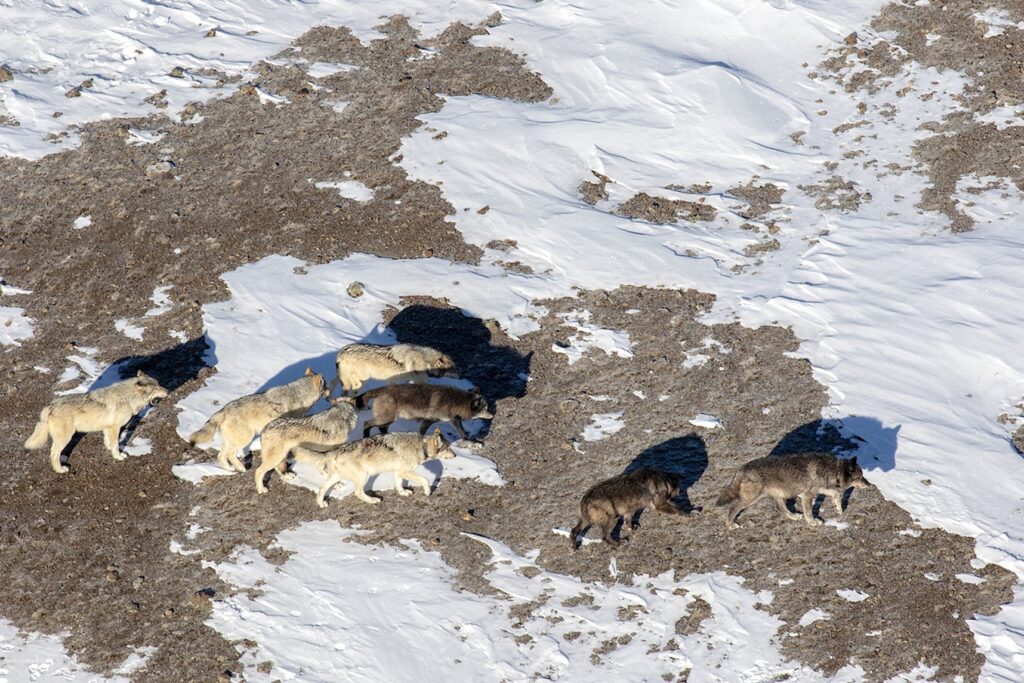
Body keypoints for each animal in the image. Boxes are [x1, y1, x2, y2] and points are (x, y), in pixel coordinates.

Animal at [25, 371, 169, 474]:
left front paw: (110, 449)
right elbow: (116, 444)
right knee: (54, 453)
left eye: (159, 384)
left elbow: (109, 442)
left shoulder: (108, 428)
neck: (128, 398)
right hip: (65, 438)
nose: (167, 391)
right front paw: (118, 456)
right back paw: (60, 470)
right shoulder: (115, 428)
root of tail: (50, 406)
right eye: (156, 388)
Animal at [187, 368, 329, 473]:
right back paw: (241, 468)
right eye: (325, 385)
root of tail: (224, 409)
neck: (299, 395)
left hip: (232, 440)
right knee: (229, 454)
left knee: (221, 455)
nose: (329, 392)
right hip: (245, 438)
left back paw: (232, 469)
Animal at [292, 428, 455, 507]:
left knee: (321, 489)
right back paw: (373, 500)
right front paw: (427, 492)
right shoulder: (406, 471)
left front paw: (403, 493)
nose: (455, 455)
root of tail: (335, 450)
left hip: (337, 478)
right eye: (448, 448)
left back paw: (322, 504)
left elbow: (399, 485)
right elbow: (425, 480)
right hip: (364, 476)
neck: (422, 446)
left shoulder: (398, 472)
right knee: (357, 493)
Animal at [357, 384, 493, 441]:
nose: (492, 416)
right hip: (386, 418)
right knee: (366, 423)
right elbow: (422, 433)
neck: (456, 402)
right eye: (485, 409)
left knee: (382, 428)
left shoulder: (453, 419)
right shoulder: (428, 421)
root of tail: (382, 389)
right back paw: (366, 437)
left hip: (389, 419)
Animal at [715, 453, 868, 529]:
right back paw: (731, 525)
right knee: (733, 508)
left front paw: (838, 508)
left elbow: (835, 494)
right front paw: (813, 523)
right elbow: (809, 513)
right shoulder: (807, 496)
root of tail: (741, 469)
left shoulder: (817, 490)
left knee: (782, 509)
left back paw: (794, 516)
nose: (869, 484)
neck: (831, 469)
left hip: (779, 496)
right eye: (860, 477)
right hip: (750, 499)